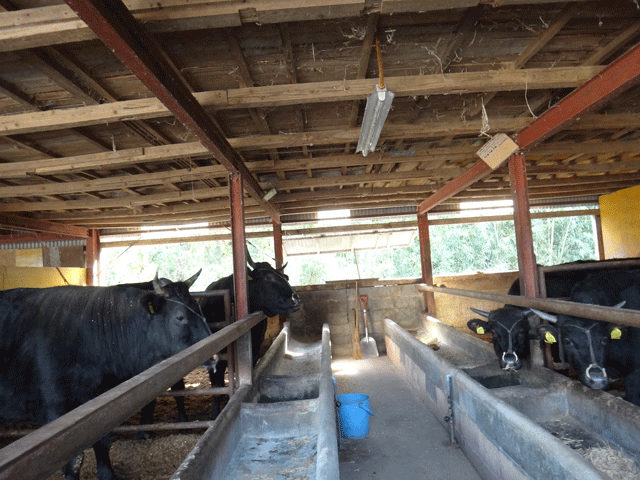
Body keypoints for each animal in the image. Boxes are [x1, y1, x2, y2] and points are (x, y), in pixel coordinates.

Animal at [0, 270, 210, 480]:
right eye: (180, 317)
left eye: (198, 306)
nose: (210, 344)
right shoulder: (54, 408)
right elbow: (73, 461)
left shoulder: (102, 400)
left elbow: (103, 441)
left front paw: (107, 474)